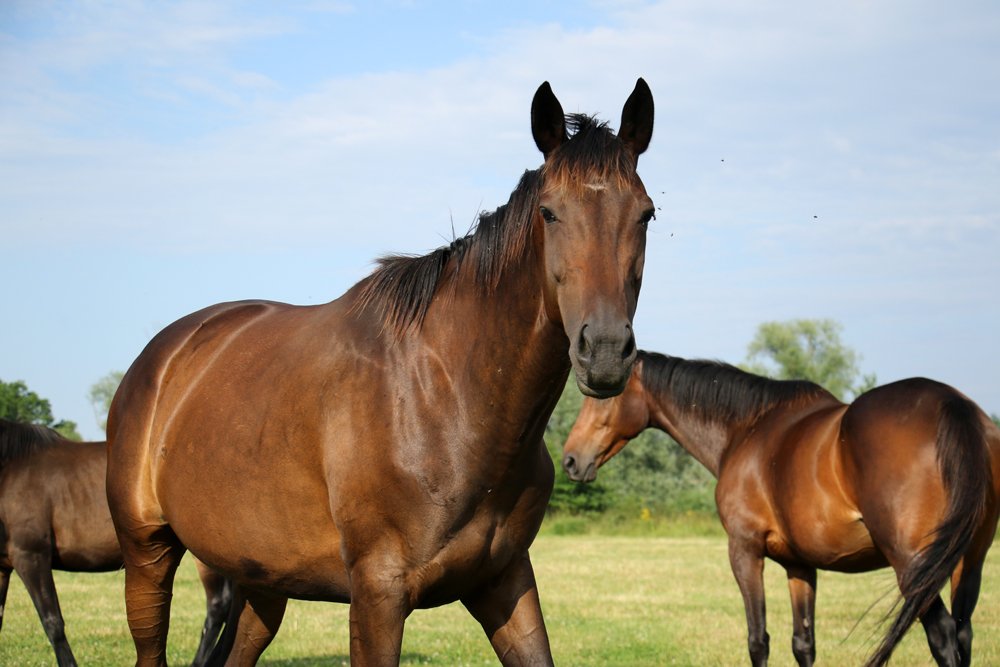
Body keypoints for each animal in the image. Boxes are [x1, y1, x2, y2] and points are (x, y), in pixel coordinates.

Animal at [105, 79, 655, 666]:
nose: (605, 349)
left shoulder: (505, 581)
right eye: (549, 213)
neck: (446, 397)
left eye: (645, 214)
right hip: (147, 555)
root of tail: (162, 356)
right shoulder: (377, 595)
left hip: (261, 581)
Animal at [562, 351, 1000, 667]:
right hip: (967, 563)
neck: (746, 429)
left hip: (913, 566)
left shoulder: (744, 551)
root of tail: (952, 405)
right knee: (962, 635)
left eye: (603, 397)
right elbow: (803, 643)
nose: (570, 459)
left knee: (943, 637)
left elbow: (758, 640)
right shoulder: (800, 565)